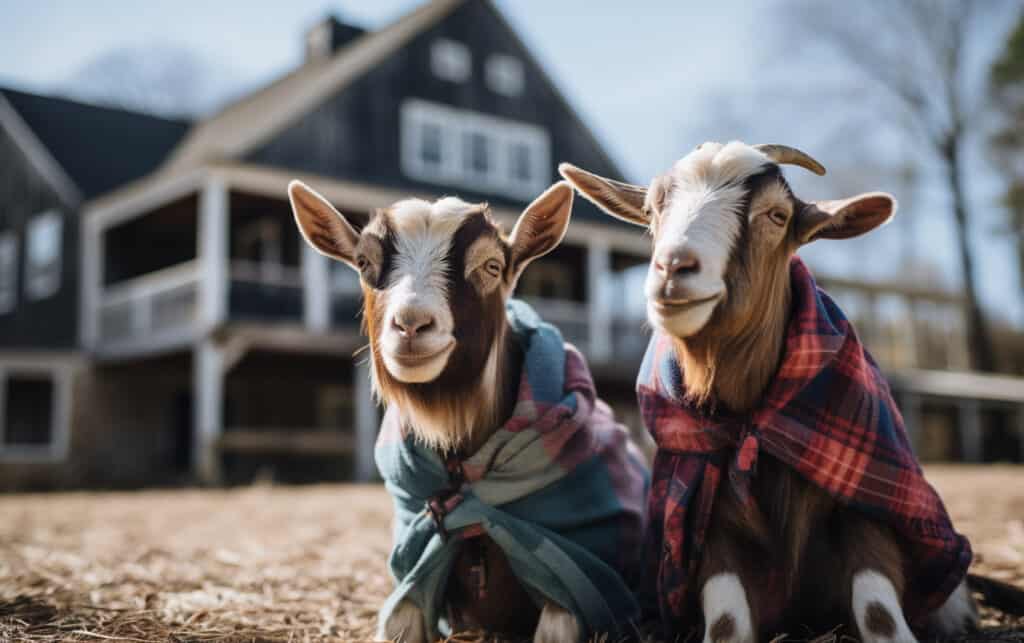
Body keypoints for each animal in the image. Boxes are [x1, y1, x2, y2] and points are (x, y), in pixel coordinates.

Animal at [560, 142, 978, 643]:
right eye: (650, 209)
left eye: (777, 215)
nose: (673, 268)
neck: (752, 427)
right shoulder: (708, 529)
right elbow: (726, 624)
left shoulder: (867, 515)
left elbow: (880, 615)